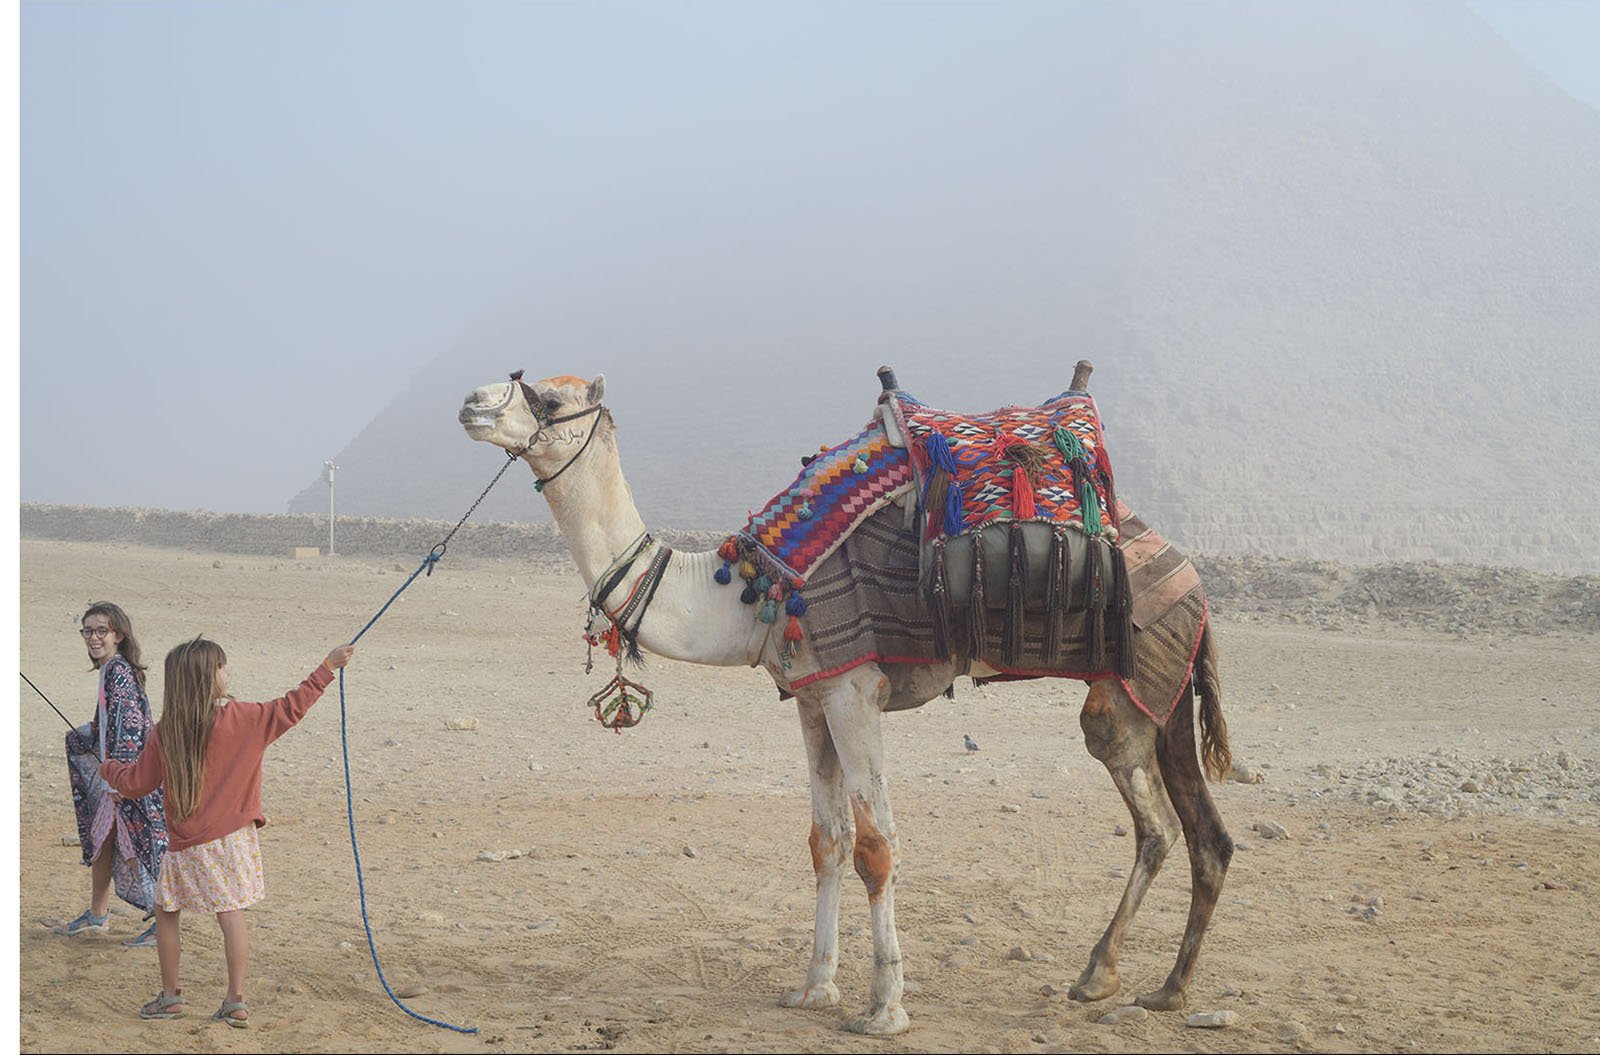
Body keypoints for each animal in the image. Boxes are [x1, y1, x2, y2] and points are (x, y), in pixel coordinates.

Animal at [458, 370, 1233, 1036]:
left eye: (549, 400)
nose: (471, 403)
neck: (745, 593)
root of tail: (1192, 580)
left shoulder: (854, 689)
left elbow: (876, 843)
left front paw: (884, 1008)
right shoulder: (811, 695)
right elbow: (825, 839)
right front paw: (813, 987)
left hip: (1128, 693)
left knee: (1157, 821)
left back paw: (1104, 976)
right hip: (1165, 696)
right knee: (1206, 834)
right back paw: (1163, 988)